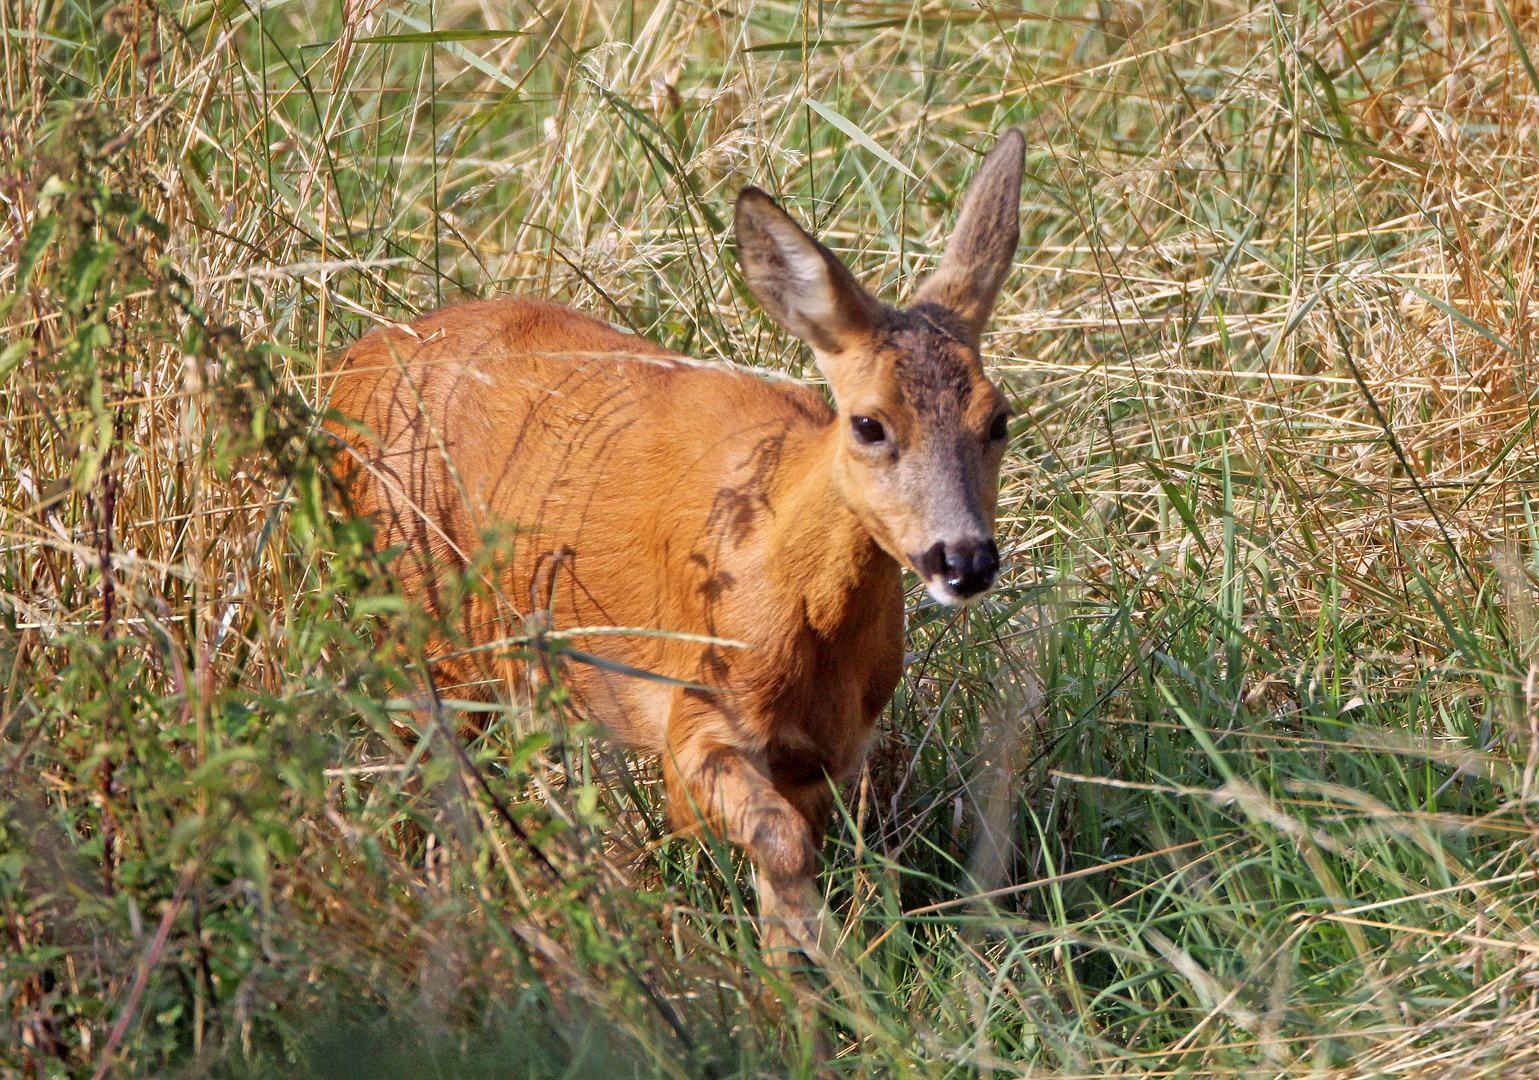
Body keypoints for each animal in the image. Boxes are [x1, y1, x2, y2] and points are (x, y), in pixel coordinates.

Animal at [327, 129, 1021, 953]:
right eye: (868, 423)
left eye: (998, 418)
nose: (964, 559)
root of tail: (351, 363)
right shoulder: (693, 711)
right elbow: (774, 842)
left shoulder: (827, 754)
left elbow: (787, 870)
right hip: (421, 616)